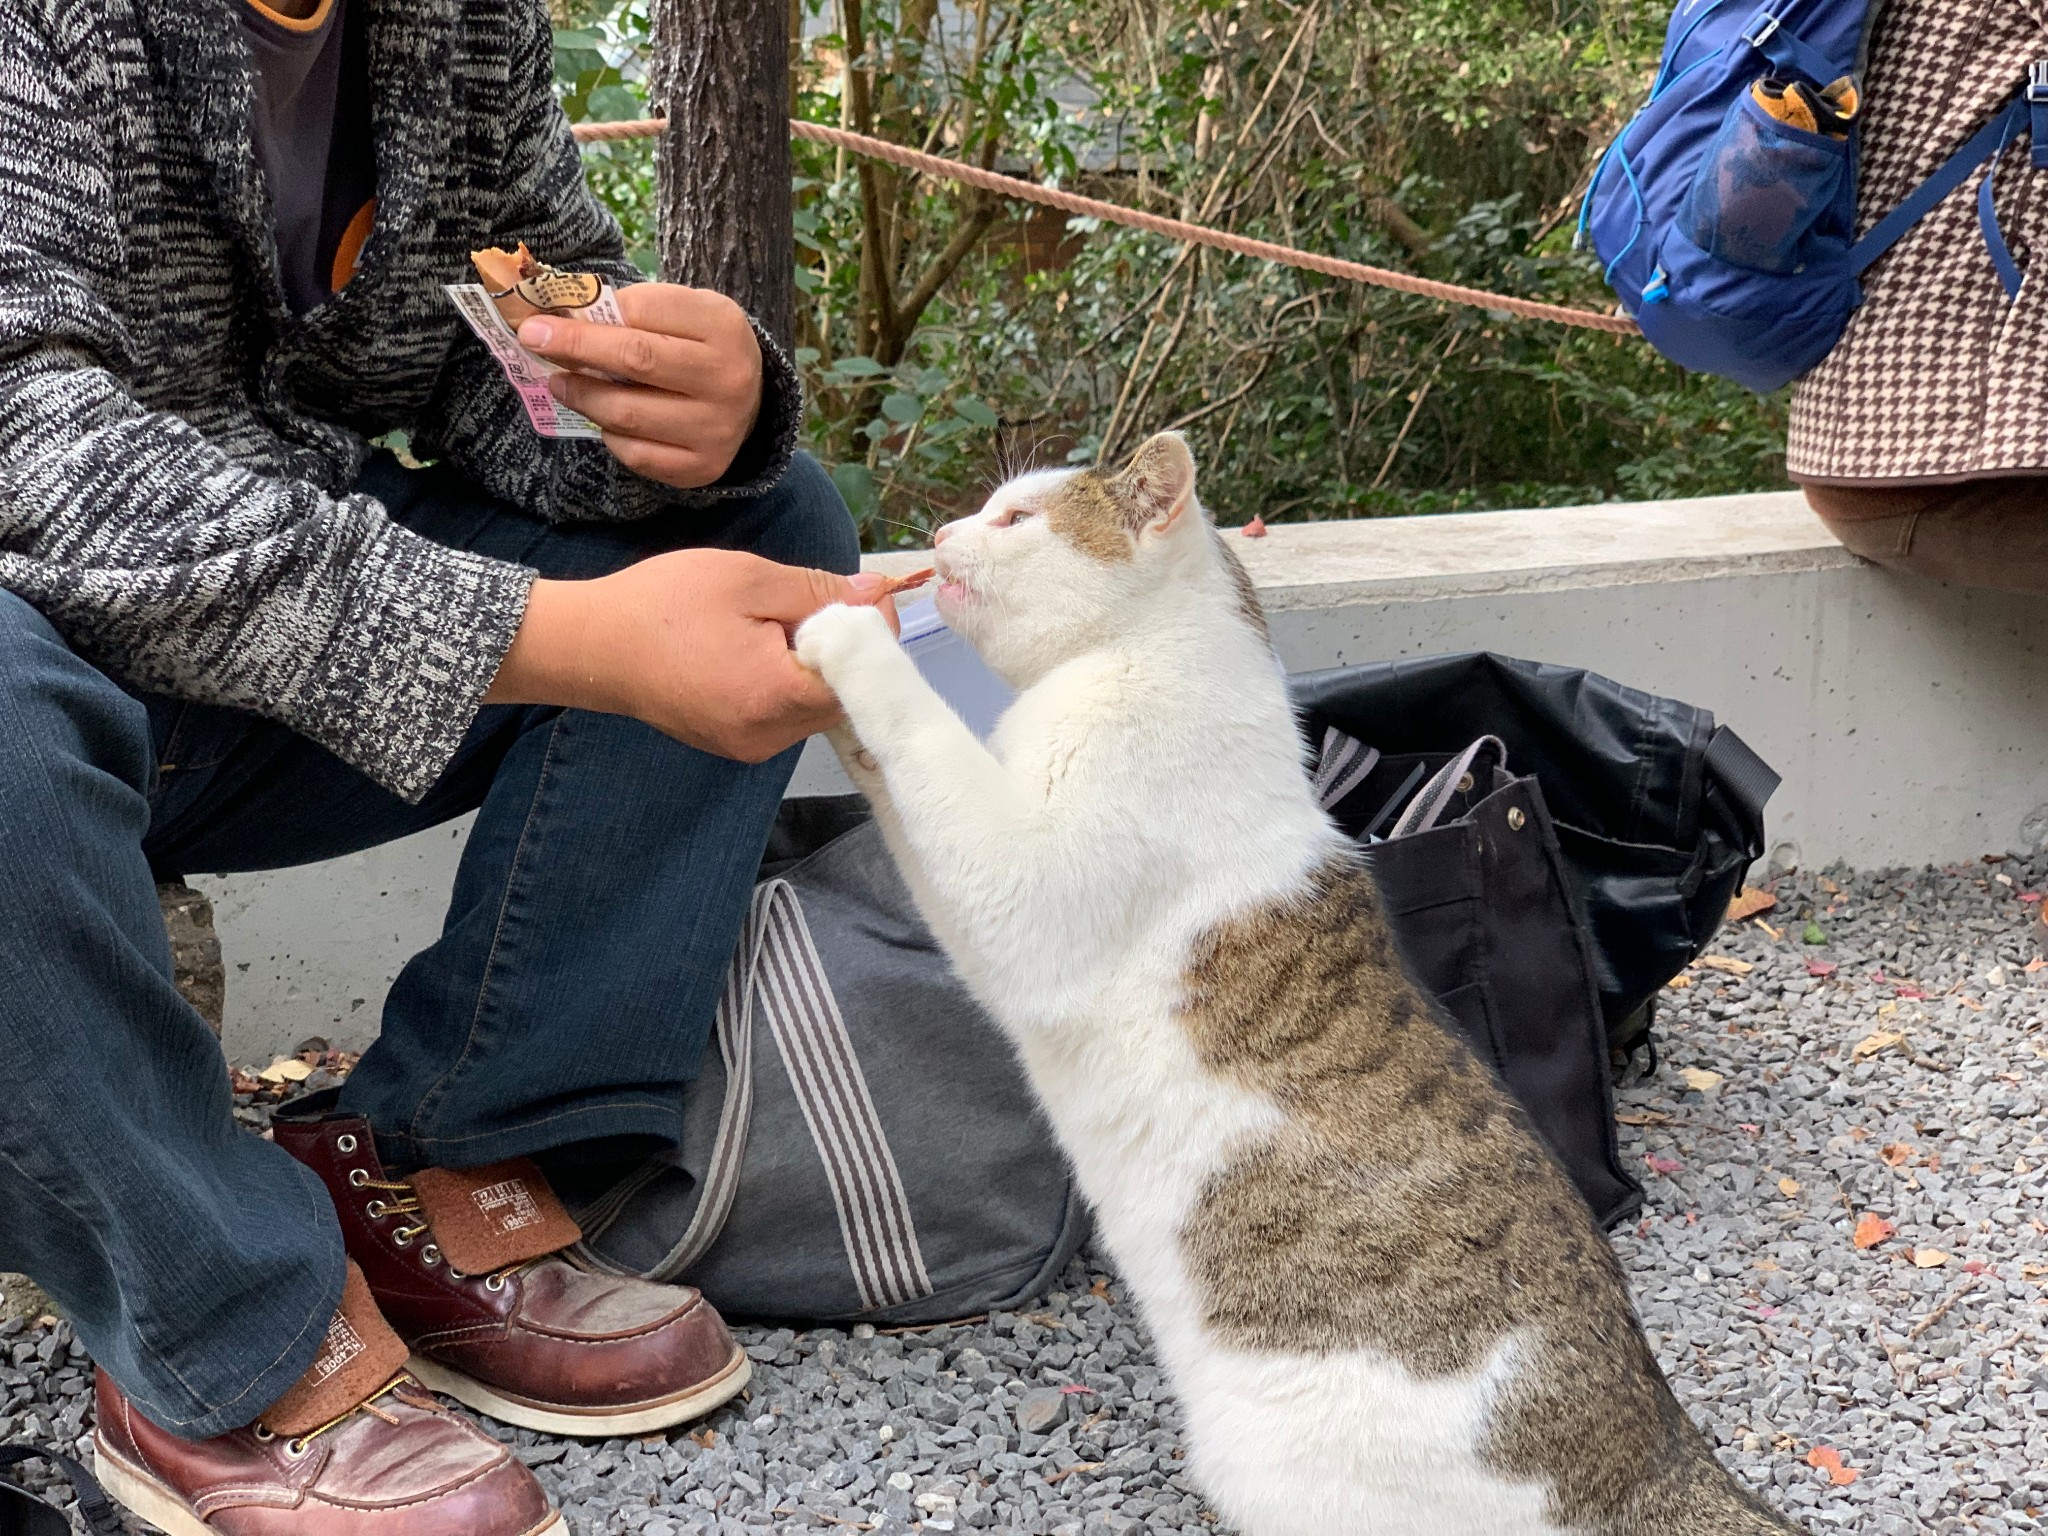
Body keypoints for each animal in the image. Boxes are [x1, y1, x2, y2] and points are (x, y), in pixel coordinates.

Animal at [790, 434, 1802, 1536]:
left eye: (1017, 519)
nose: (939, 533)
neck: (1131, 665)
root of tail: (1653, 1459)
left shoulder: (1026, 885)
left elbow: (929, 748)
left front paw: (844, 632)